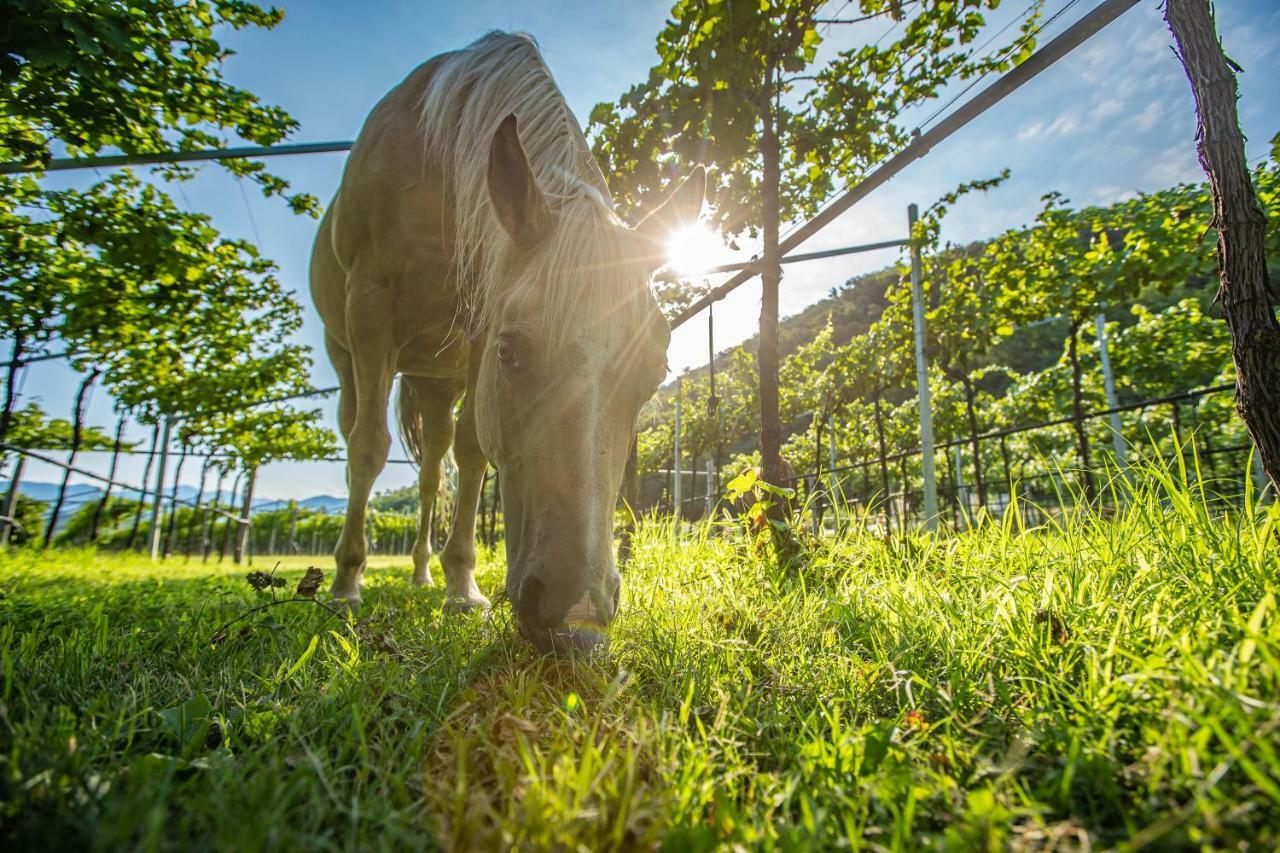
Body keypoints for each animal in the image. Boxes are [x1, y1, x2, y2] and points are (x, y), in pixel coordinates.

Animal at [312, 29, 711, 648]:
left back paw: (423, 573)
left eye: (655, 376)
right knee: (359, 430)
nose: (578, 621)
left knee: (433, 471)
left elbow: (474, 452)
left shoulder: (477, 325)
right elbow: (369, 446)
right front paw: (345, 585)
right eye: (512, 351)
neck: (435, 157)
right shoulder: (372, 303)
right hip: (349, 352)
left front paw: (461, 589)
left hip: (438, 381)